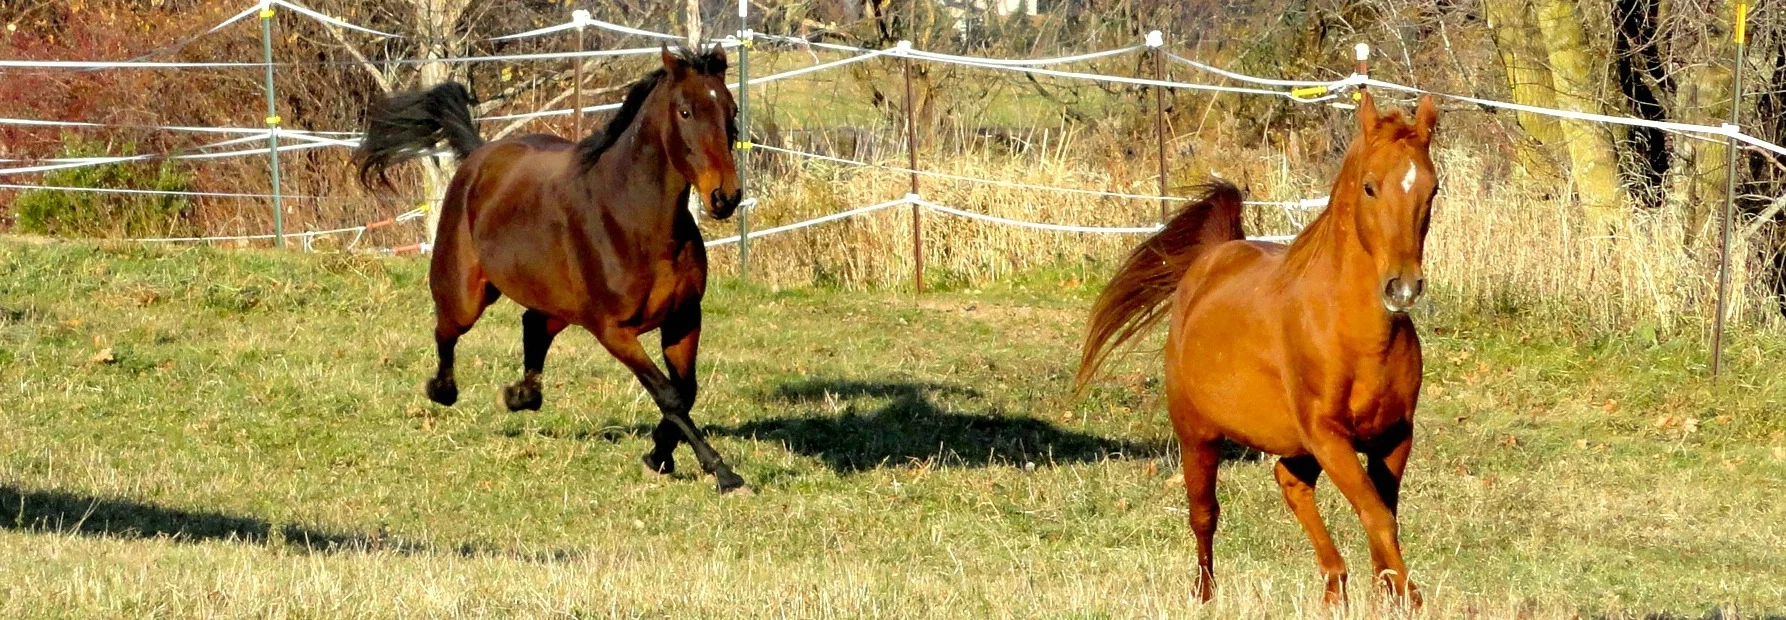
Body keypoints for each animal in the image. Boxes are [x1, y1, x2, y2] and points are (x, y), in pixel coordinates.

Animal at [355, 45, 748, 493]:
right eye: (685, 111)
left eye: (731, 109)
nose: (725, 196)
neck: (635, 219)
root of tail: (477, 155)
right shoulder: (614, 330)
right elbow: (670, 395)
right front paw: (722, 472)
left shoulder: (684, 318)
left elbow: (686, 391)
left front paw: (659, 456)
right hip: (466, 296)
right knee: (446, 329)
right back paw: (443, 390)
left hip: (557, 304)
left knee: (533, 326)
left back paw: (521, 396)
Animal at [1076, 91, 1439, 606]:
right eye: (1370, 187)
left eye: (1431, 190)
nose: (1403, 287)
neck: (1354, 335)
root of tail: (1213, 258)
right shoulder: (1329, 435)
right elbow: (1377, 515)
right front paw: (1409, 597)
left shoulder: (1392, 437)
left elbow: (1381, 516)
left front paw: (1390, 593)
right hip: (1197, 434)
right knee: (1204, 512)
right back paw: (1205, 593)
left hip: (1292, 443)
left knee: (1289, 482)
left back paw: (1334, 586)